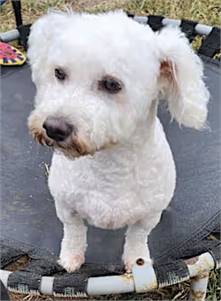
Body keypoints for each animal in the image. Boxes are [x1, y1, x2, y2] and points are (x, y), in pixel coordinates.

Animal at [27, 10, 209, 272]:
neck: (108, 166)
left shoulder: (147, 217)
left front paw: (138, 262)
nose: (54, 128)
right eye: (59, 73)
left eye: (112, 84)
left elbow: (137, 237)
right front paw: (71, 258)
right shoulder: (67, 207)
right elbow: (73, 233)